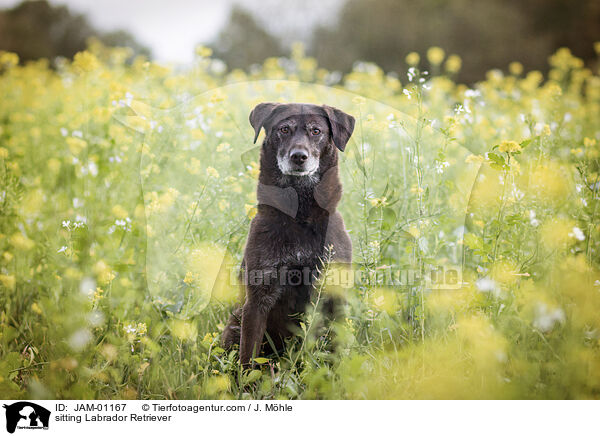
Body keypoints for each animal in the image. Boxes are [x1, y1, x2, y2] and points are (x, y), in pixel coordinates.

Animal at [221, 103, 354, 368]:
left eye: (316, 131)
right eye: (284, 129)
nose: (298, 156)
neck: (299, 217)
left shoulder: (333, 296)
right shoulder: (257, 300)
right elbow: (248, 357)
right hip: (234, 323)